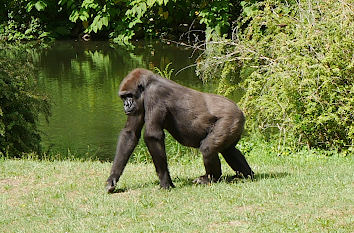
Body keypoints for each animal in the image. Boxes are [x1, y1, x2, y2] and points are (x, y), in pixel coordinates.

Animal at [106, 68, 254, 192]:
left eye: (129, 95)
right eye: (123, 97)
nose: (126, 105)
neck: (148, 84)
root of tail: (240, 109)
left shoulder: (155, 94)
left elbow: (152, 136)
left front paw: (165, 182)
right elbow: (130, 134)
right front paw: (112, 178)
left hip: (230, 118)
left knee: (208, 148)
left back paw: (211, 178)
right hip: (235, 123)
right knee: (229, 150)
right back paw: (247, 175)